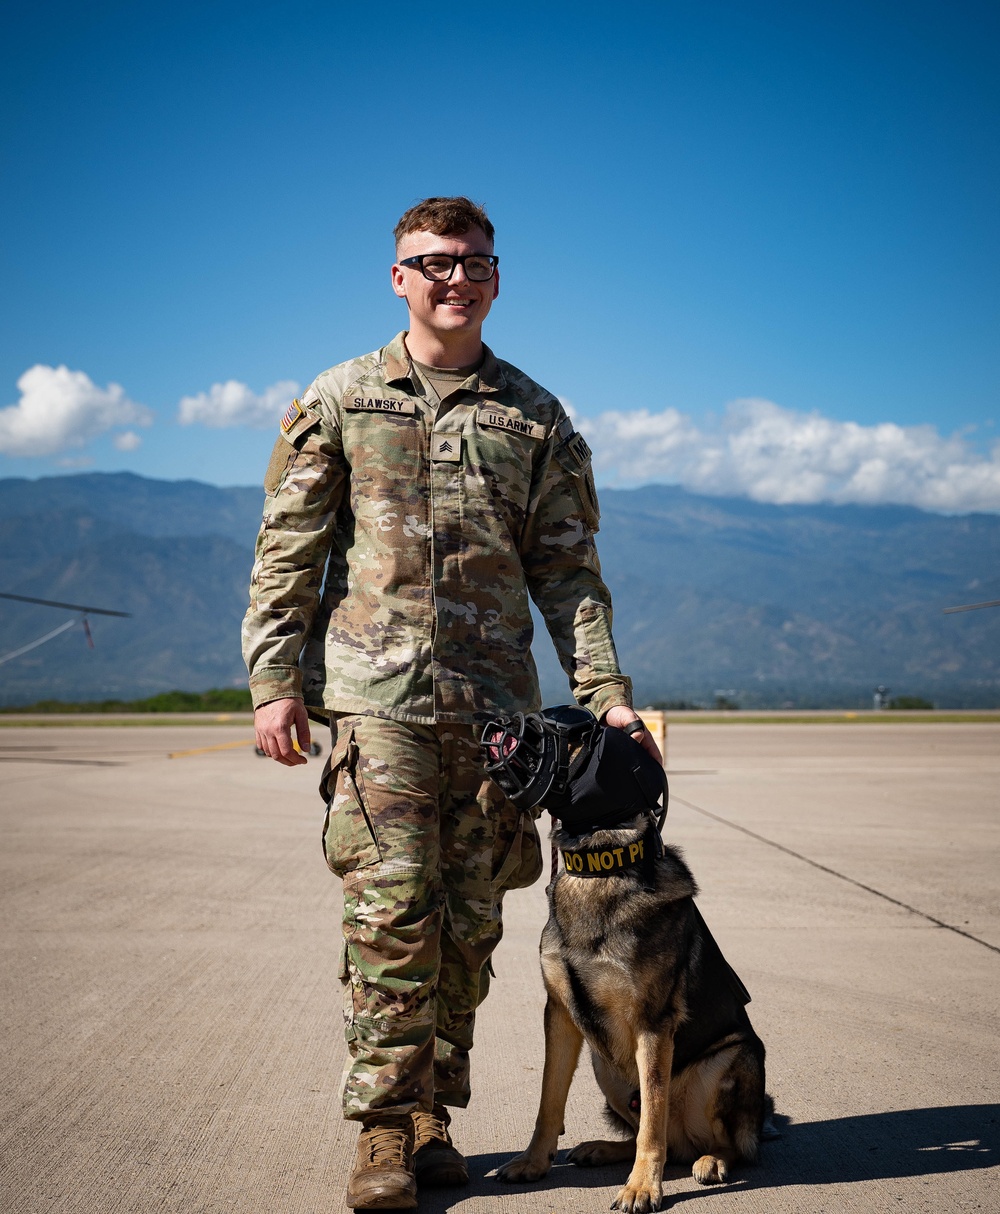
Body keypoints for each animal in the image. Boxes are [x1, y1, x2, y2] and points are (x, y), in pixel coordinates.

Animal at [495, 815, 771, 1214]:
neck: (601, 866)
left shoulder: (652, 1026)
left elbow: (652, 1125)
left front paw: (641, 1187)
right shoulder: (559, 1016)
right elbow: (549, 1101)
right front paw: (533, 1162)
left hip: (732, 1057)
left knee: (729, 1145)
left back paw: (713, 1159)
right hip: (604, 1065)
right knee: (655, 1137)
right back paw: (602, 1149)